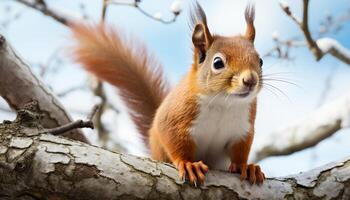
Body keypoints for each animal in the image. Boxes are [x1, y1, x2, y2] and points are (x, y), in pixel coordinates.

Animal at [69, 2, 264, 185]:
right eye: (217, 63)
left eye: (260, 61)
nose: (250, 80)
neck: (224, 103)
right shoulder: (176, 117)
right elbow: (173, 138)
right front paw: (188, 164)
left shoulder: (242, 130)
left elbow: (240, 151)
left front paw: (246, 167)